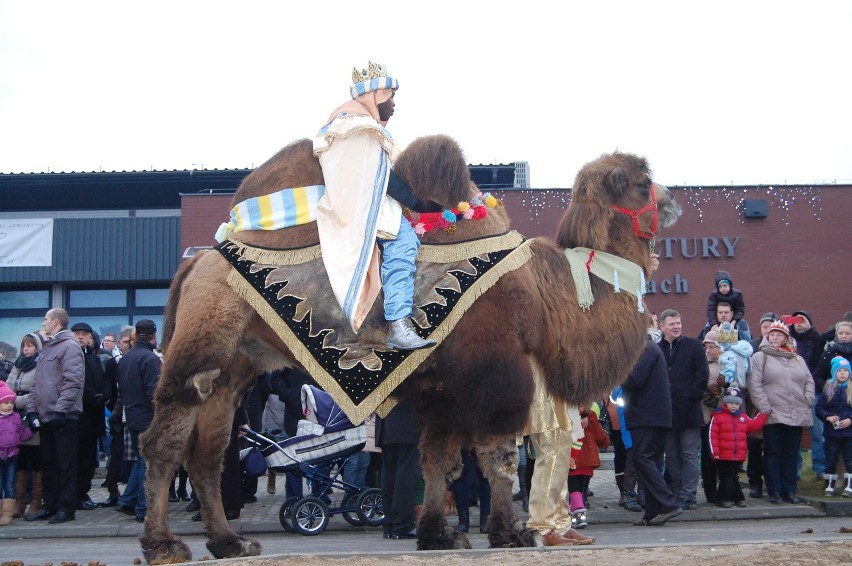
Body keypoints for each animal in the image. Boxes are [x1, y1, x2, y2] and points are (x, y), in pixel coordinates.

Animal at [141, 136, 680, 564]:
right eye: (642, 182)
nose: (673, 201)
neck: (547, 292)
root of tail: (198, 263)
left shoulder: (443, 386)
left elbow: (440, 459)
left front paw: (439, 535)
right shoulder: (497, 371)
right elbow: (499, 457)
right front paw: (511, 533)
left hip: (234, 370)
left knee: (208, 454)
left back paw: (229, 543)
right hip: (202, 347)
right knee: (165, 441)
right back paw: (164, 544)